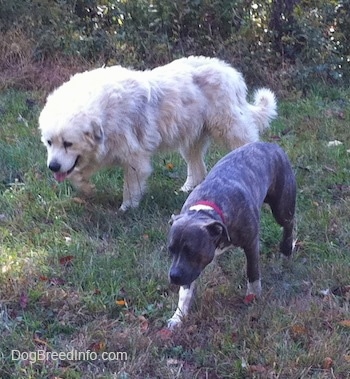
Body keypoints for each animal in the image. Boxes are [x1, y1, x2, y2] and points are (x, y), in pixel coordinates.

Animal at [39, 56, 278, 212]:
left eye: (68, 143)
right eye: (50, 142)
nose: (53, 167)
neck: (103, 112)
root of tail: (230, 72)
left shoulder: (134, 157)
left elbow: (131, 187)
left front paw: (126, 209)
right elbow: (77, 174)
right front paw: (86, 188)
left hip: (229, 128)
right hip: (190, 139)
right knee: (198, 168)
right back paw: (187, 189)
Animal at [167, 142, 296, 330]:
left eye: (192, 251)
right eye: (170, 250)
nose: (173, 276)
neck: (206, 211)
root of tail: (269, 144)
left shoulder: (251, 244)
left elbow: (252, 272)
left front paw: (253, 296)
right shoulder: (187, 269)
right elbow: (185, 292)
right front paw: (178, 317)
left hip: (282, 206)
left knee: (289, 224)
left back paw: (286, 249)